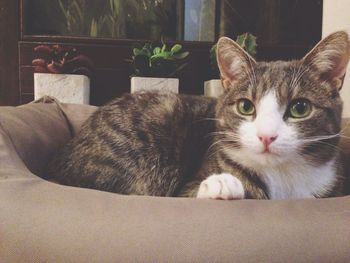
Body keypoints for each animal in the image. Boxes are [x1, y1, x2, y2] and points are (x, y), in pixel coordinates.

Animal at [47, 31, 350, 200]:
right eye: (246, 107)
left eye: (300, 108)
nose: (266, 136)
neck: (283, 178)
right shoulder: (185, 187)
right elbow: (192, 192)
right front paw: (221, 184)